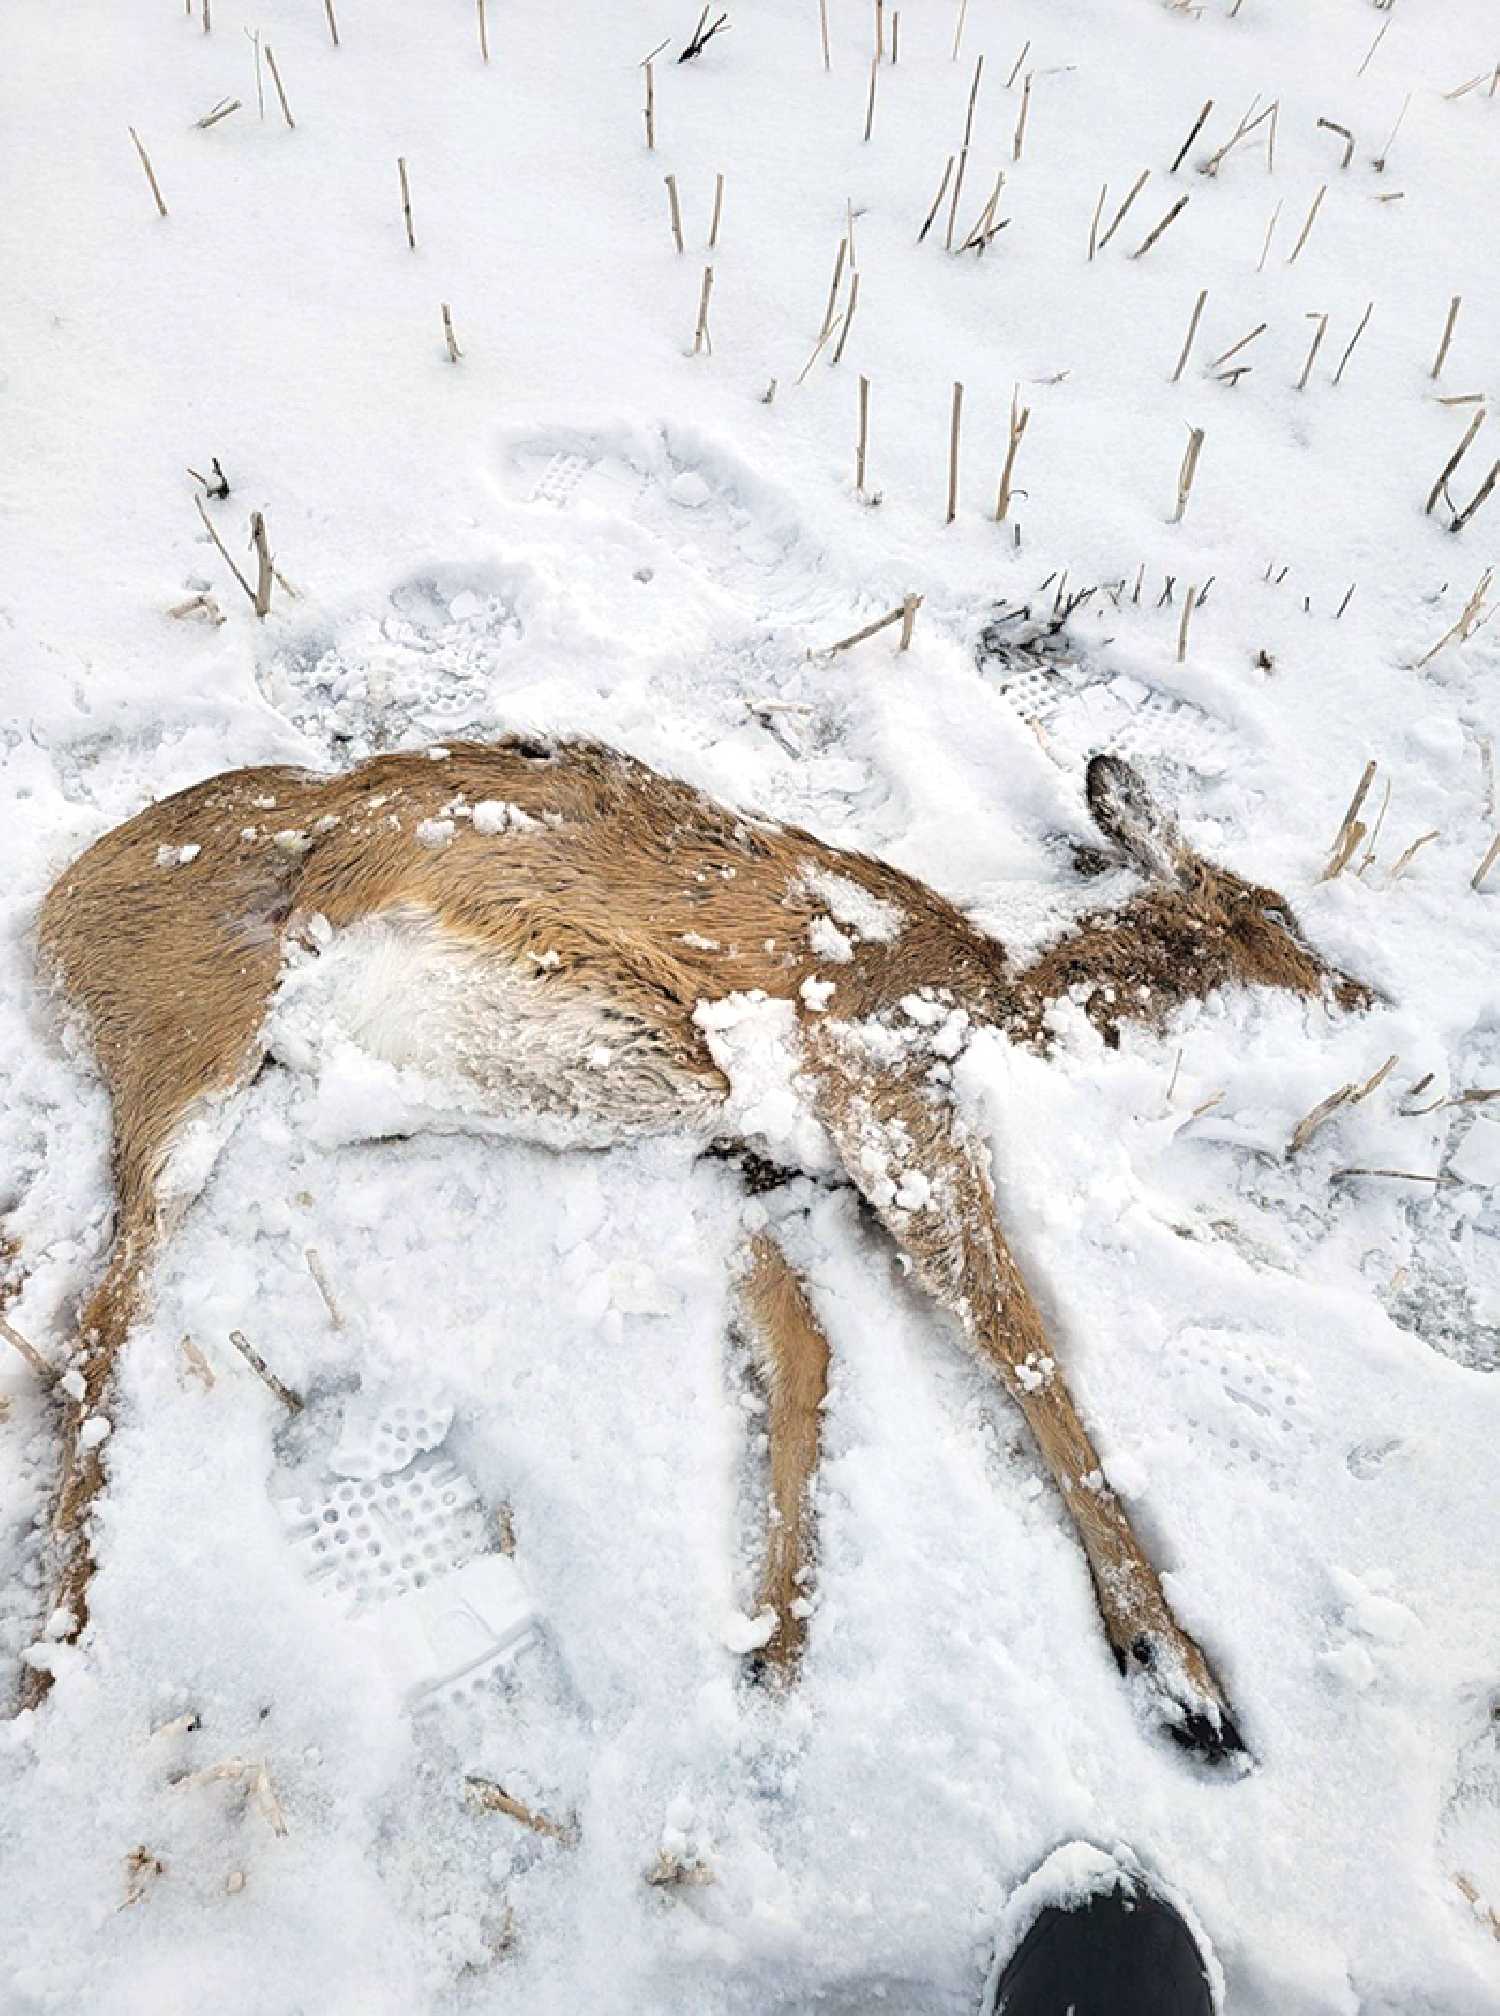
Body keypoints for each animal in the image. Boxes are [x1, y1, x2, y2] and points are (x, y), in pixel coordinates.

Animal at [20, 734, 1369, 1758]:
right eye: (1279, 915)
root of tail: (59, 905)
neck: (994, 983)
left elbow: (804, 1351)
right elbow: (1020, 1342)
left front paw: (774, 1643)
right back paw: (51, 1664)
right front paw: (1183, 1678)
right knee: (97, 1334)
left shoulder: (746, 1161)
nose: (1368, 1002)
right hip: (196, 1058)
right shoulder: (883, 1098)